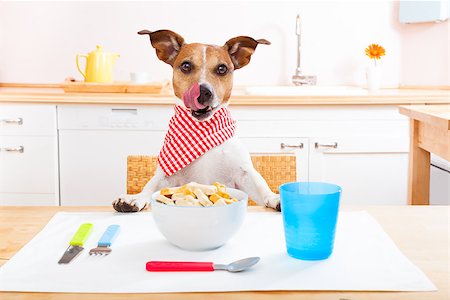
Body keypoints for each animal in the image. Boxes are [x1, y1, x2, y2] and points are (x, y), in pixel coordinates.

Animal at [112, 29, 280, 213]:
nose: (203, 92)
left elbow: (261, 187)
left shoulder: (244, 173)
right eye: (186, 66)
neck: (202, 129)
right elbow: (151, 187)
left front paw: (275, 198)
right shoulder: (166, 177)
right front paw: (135, 198)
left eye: (222, 69)